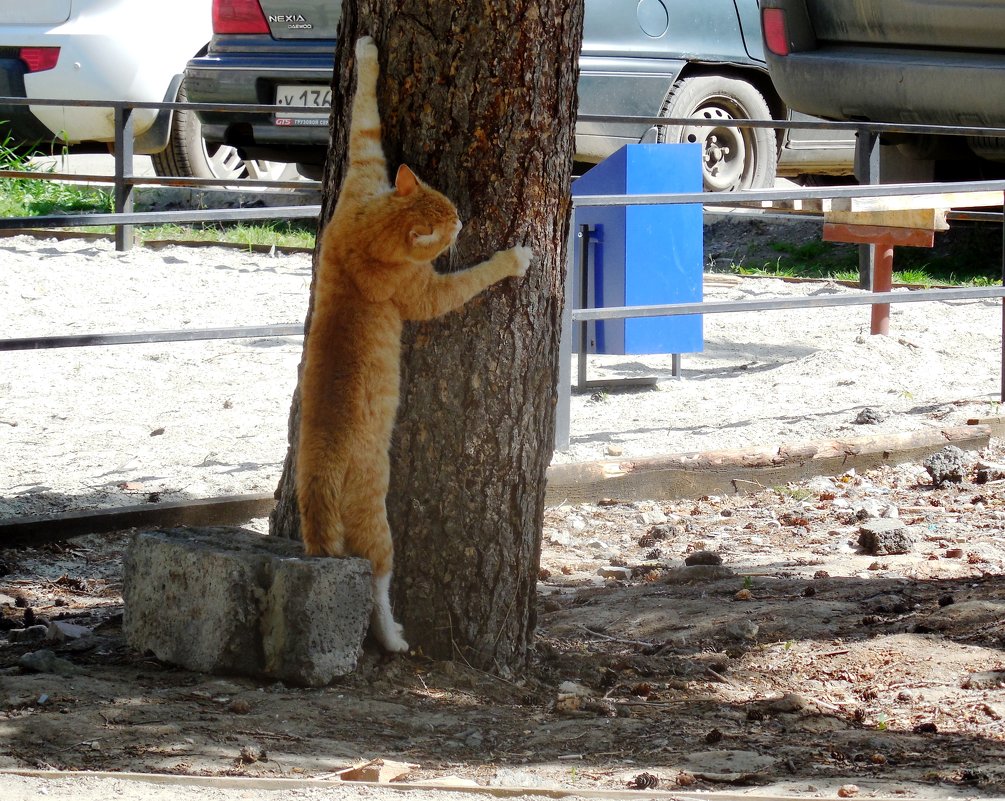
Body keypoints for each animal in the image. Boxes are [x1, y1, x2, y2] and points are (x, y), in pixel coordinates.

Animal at [295, 34, 534, 651]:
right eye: (450, 223)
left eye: (448, 202)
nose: (463, 219)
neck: (365, 235)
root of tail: (321, 466)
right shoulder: (426, 294)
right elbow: (470, 280)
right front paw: (513, 259)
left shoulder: (361, 171)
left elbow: (365, 121)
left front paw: (366, 52)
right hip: (376, 522)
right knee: (376, 577)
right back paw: (394, 636)